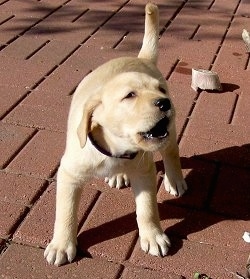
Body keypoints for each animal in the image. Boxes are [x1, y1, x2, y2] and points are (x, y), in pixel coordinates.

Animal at [45, 3, 187, 266]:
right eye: (130, 95)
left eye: (160, 90)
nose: (165, 103)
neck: (116, 150)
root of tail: (139, 58)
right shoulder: (69, 174)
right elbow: (65, 213)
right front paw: (61, 245)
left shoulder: (144, 171)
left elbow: (147, 208)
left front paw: (153, 236)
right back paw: (119, 175)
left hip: (170, 134)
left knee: (172, 151)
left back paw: (175, 180)